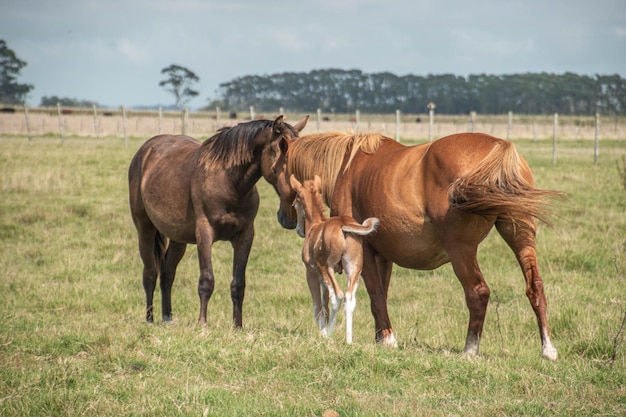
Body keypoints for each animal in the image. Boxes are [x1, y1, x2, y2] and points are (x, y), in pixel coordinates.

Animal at [127, 115, 308, 326]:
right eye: (282, 156)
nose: (290, 218)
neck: (229, 182)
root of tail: (145, 150)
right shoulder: (204, 234)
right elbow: (206, 281)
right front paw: (202, 324)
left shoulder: (245, 236)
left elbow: (238, 283)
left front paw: (237, 326)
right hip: (145, 229)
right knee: (150, 273)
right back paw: (149, 319)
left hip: (178, 238)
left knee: (167, 274)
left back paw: (167, 318)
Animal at [290, 174, 378, 342]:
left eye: (295, 202)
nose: (298, 230)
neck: (315, 225)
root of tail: (343, 225)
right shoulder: (322, 279)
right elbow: (325, 307)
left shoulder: (311, 272)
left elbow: (318, 306)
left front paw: (323, 333)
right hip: (354, 268)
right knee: (349, 298)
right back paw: (349, 340)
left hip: (327, 267)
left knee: (338, 295)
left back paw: (329, 334)